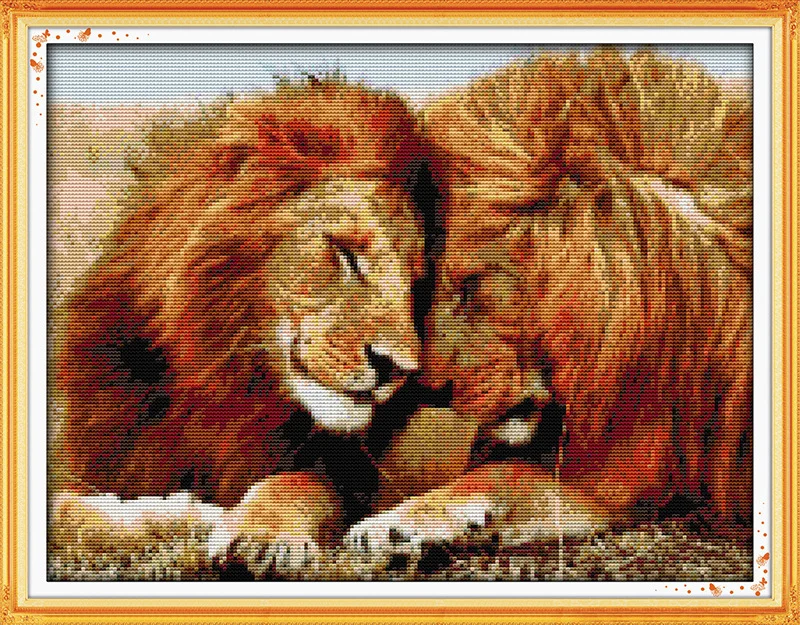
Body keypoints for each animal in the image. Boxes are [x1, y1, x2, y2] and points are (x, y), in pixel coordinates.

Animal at [53, 80, 434, 574]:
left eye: (416, 284)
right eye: (346, 253)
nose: (400, 369)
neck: (222, 386)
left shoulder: (351, 477)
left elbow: (295, 482)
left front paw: (258, 534)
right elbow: (67, 512)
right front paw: (183, 514)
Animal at [349, 47, 752, 556]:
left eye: (472, 284)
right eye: (424, 290)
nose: (430, 389)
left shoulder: (632, 472)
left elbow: (506, 472)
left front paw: (391, 523)